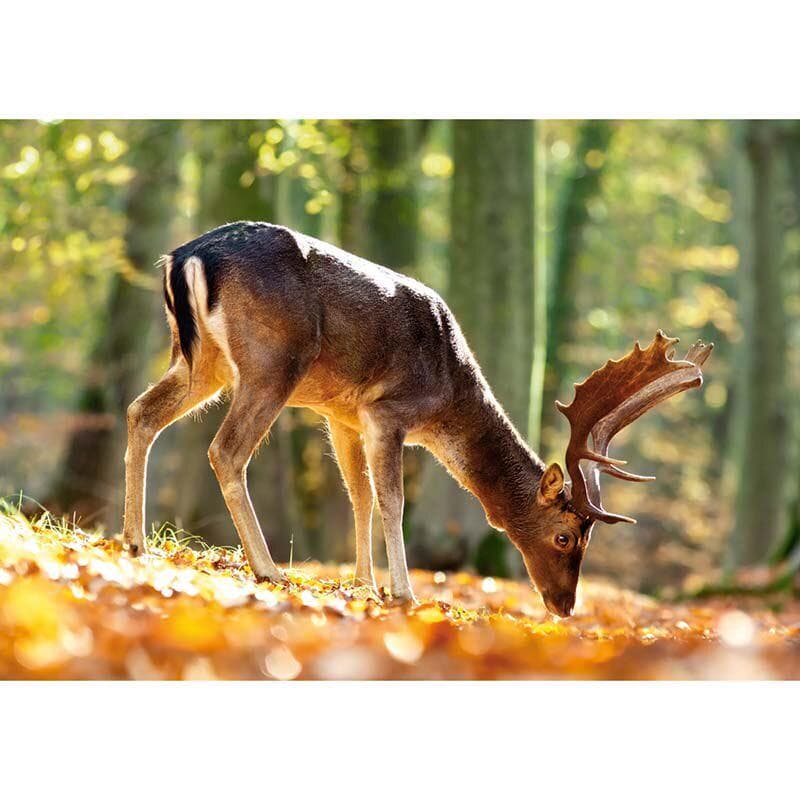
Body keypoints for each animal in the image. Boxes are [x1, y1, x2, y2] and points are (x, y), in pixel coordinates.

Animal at [122, 221, 712, 616]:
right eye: (567, 536)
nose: (565, 606)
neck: (448, 394)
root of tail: (186, 256)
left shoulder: (341, 413)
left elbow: (358, 496)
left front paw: (365, 585)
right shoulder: (388, 411)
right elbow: (392, 500)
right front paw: (403, 592)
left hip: (201, 362)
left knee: (140, 412)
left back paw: (134, 541)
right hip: (272, 361)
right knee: (225, 450)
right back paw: (266, 568)